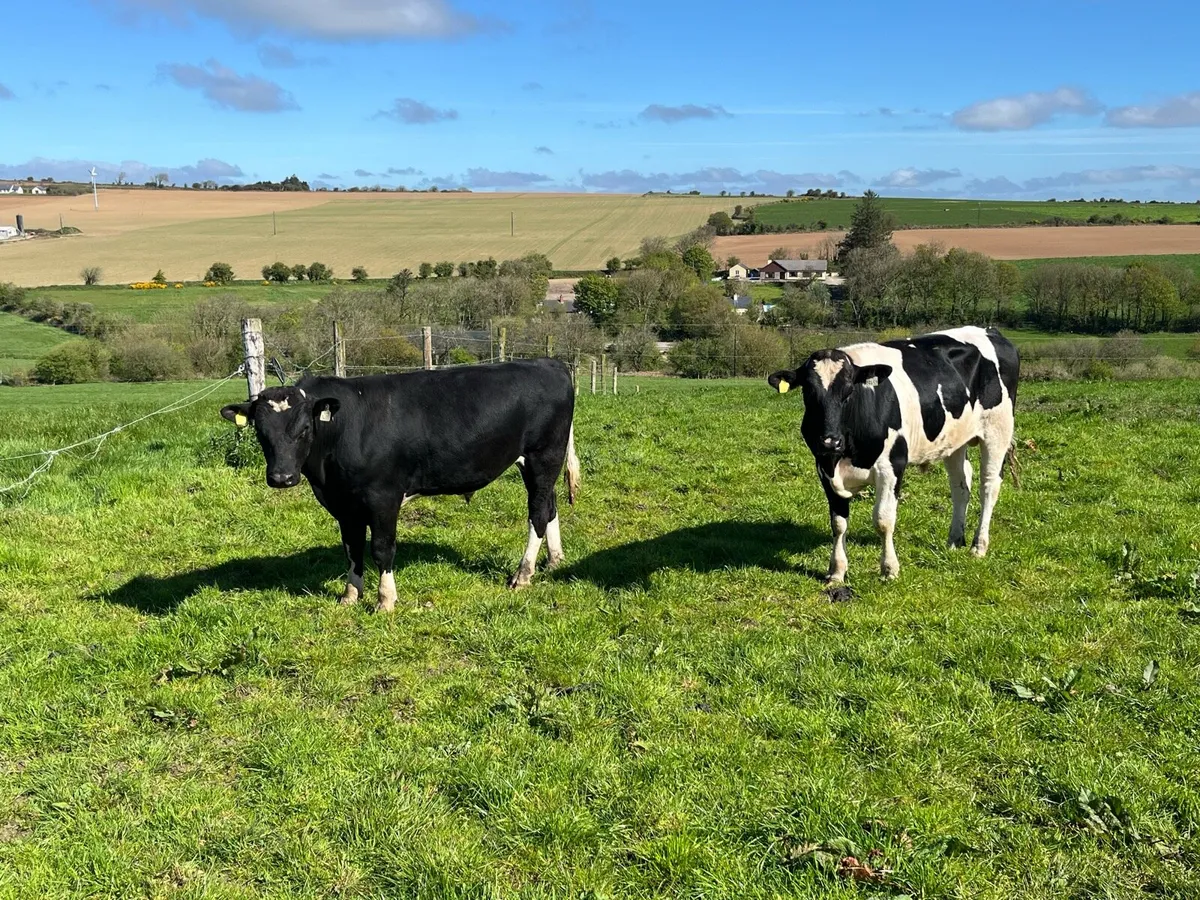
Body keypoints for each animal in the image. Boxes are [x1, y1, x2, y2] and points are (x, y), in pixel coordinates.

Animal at [220, 358, 581, 612]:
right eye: (260, 430)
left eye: (304, 428)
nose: (281, 478)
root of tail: (548, 362)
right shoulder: (344, 505)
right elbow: (352, 548)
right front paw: (350, 595)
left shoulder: (384, 497)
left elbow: (381, 548)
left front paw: (385, 600)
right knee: (549, 506)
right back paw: (554, 560)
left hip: (543, 456)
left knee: (537, 512)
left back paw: (523, 574)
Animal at [768, 326, 1019, 583]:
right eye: (808, 392)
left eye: (849, 391)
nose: (830, 441)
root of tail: (989, 330)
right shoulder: (824, 468)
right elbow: (838, 523)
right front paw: (836, 571)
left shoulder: (892, 466)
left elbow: (883, 520)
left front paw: (889, 569)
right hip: (955, 441)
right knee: (961, 487)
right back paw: (954, 541)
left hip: (998, 430)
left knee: (988, 486)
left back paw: (979, 546)